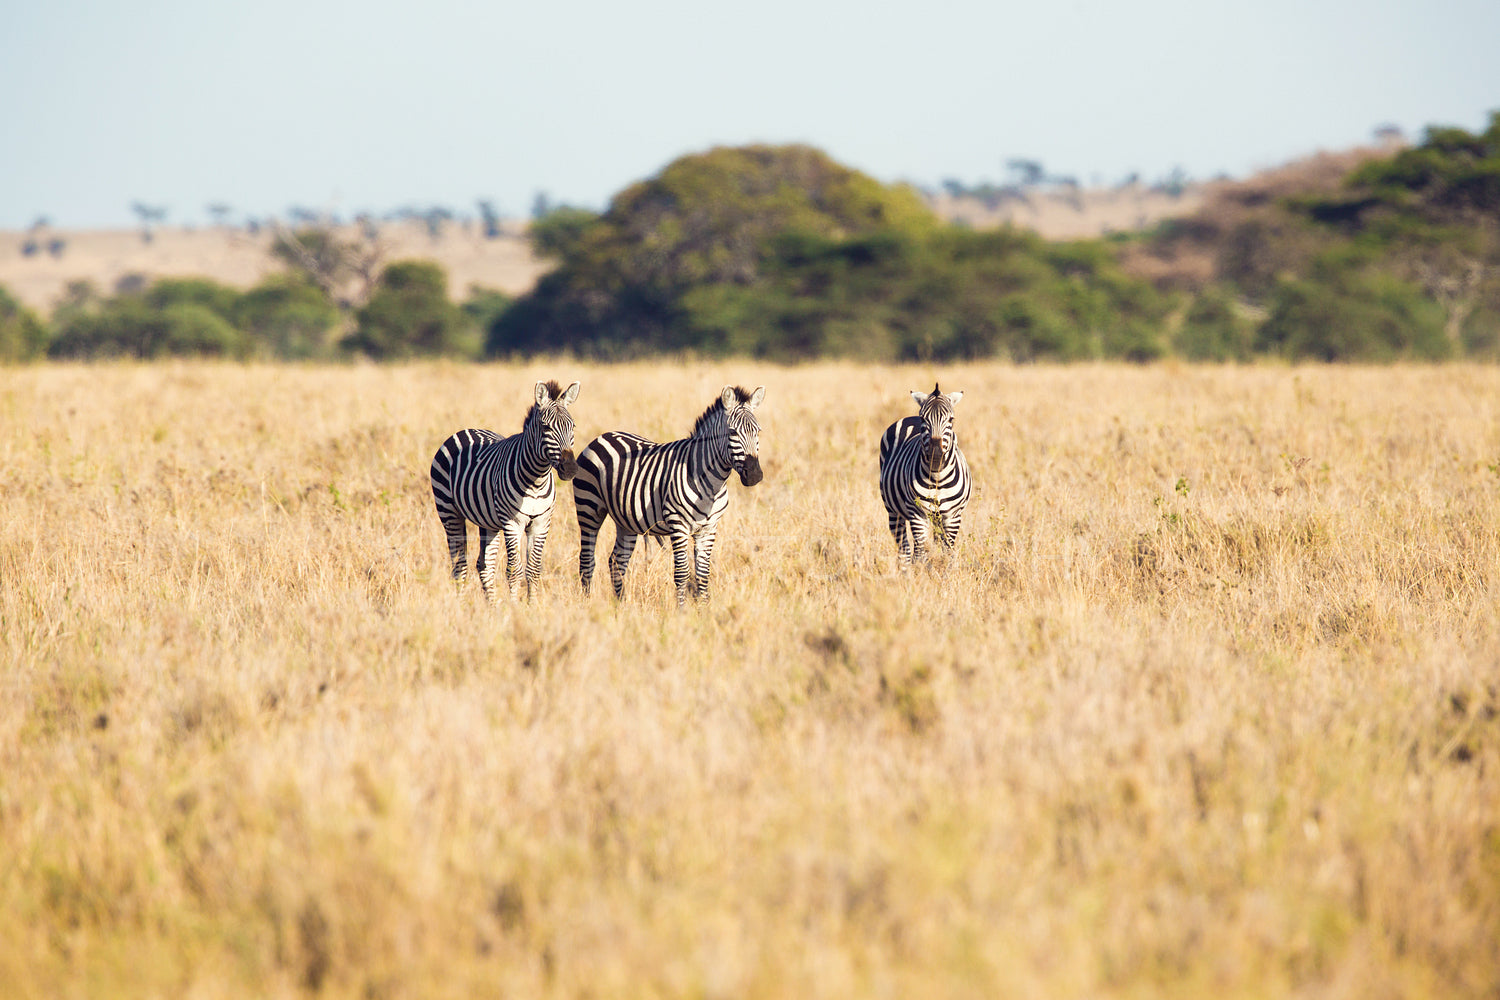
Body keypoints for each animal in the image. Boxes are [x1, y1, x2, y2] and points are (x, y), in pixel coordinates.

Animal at [432, 379, 582, 602]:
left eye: (572, 426)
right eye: (545, 427)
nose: (570, 468)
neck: (536, 480)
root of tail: (465, 430)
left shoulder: (541, 523)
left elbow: (533, 570)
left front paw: (532, 605)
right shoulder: (512, 523)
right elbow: (514, 570)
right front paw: (514, 607)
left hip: (488, 522)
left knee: (484, 565)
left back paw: (492, 607)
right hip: (449, 512)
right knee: (459, 565)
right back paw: (460, 604)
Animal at [570, 383, 768, 602]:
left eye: (758, 431)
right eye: (733, 432)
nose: (754, 475)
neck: (712, 484)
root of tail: (603, 436)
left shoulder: (709, 529)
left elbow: (703, 574)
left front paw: (703, 609)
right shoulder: (678, 524)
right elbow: (682, 573)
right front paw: (682, 609)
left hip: (625, 520)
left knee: (616, 561)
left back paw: (620, 605)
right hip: (589, 508)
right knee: (587, 560)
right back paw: (588, 602)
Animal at [876, 386, 972, 569]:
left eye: (951, 419)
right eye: (923, 419)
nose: (936, 452)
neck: (937, 477)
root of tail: (909, 417)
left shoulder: (953, 516)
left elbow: (947, 553)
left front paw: (945, 574)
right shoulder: (917, 514)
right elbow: (920, 554)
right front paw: (921, 574)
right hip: (893, 511)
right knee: (905, 550)